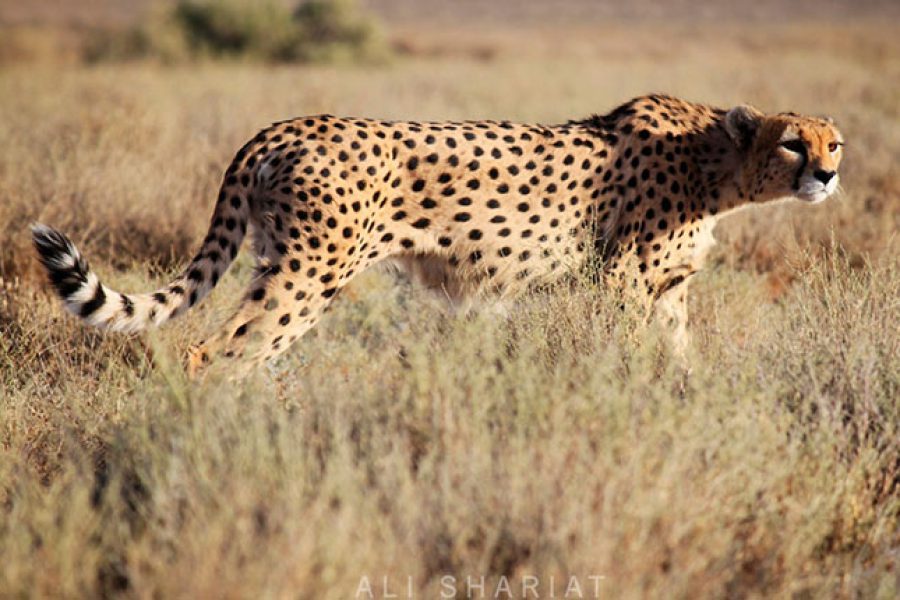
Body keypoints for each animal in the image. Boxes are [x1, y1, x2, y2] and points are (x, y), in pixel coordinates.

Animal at [29, 95, 844, 376]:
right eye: (791, 144)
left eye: (833, 143)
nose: (829, 176)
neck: (717, 163)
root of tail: (288, 123)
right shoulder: (621, 281)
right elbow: (632, 348)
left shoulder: (667, 289)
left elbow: (678, 355)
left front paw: (684, 399)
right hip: (311, 271)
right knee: (214, 351)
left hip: (281, 260)